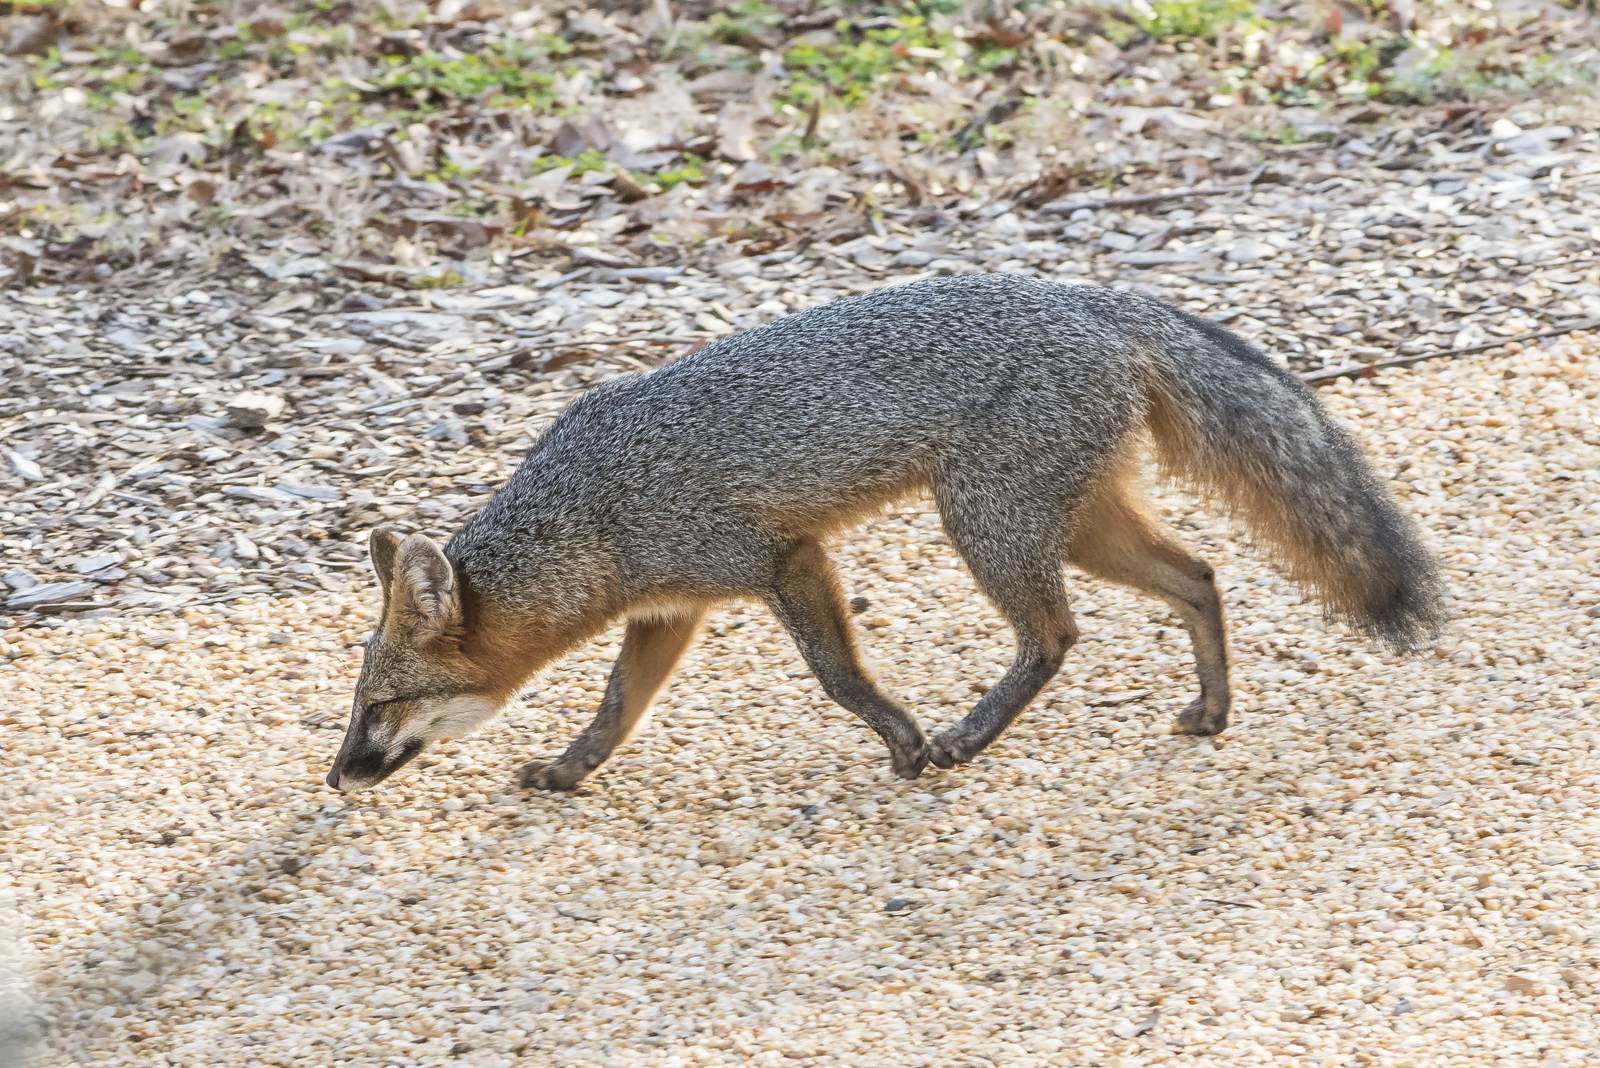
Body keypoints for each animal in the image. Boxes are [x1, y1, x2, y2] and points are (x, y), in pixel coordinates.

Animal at [325, 272, 1443, 794]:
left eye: (380, 706)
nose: (336, 776)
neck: (594, 508)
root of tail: (1093, 297)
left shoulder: (782, 559)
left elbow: (835, 675)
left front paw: (900, 738)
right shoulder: (670, 612)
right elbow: (613, 710)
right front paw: (567, 772)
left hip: (987, 524)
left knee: (1056, 636)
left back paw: (963, 737)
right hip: (1073, 524)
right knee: (1201, 575)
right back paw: (1210, 711)